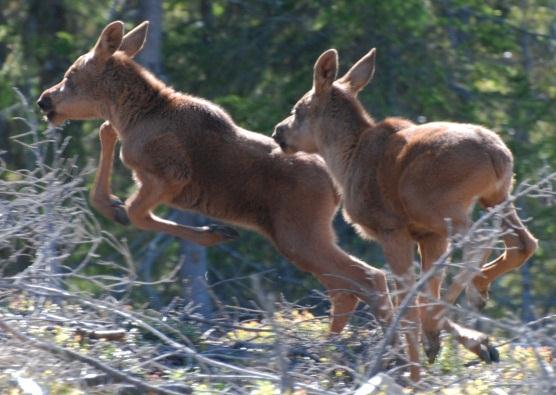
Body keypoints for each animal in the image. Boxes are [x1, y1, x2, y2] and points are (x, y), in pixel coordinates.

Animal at [35, 22, 396, 346]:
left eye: (70, 77)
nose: (44, 99)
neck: (134, 115)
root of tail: (336, 187)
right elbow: (105, 151)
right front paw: (113, 205)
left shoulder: (171, 175)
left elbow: (137, 213)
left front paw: (213, 233)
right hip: (298, 237)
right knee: (344, 288)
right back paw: (334, 348)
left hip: (299, 234)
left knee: (368, 277)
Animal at [274, 48, 540, 382]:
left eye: (298, 109)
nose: (278, 132)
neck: (344, 161)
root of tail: (497, 153)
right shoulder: (427, 235)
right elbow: (422, 292)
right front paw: (441, 345)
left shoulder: (392, 229)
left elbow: (407, 307)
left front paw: (413, 375)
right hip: (496, 197)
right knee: (523, 242)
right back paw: (472, 295)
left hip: (432, 202)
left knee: (480, 238)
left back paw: (461, 302)